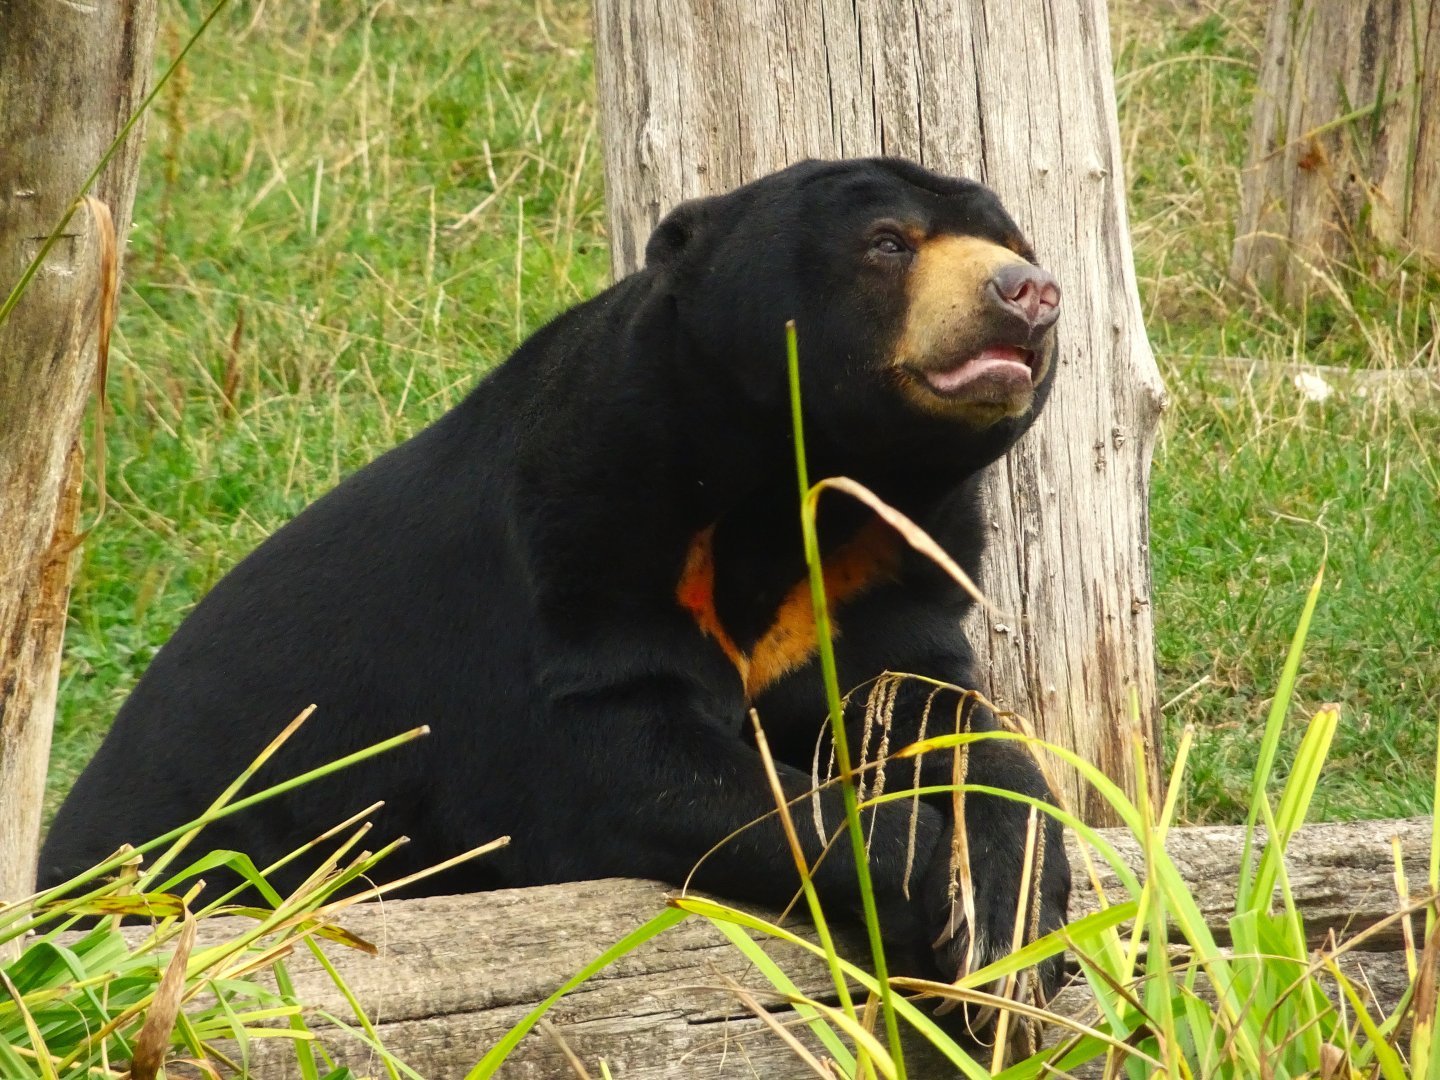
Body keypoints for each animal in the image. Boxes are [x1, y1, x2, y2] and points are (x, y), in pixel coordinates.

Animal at [42, 157, 1070, 1040]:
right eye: (888, 242)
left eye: (1012, 238)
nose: (1029, 291)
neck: (800, 482)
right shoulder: (585, 534)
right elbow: (628, 766)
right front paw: (927, 877)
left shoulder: (888, 570)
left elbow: (937, 712)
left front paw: (1011, 918)